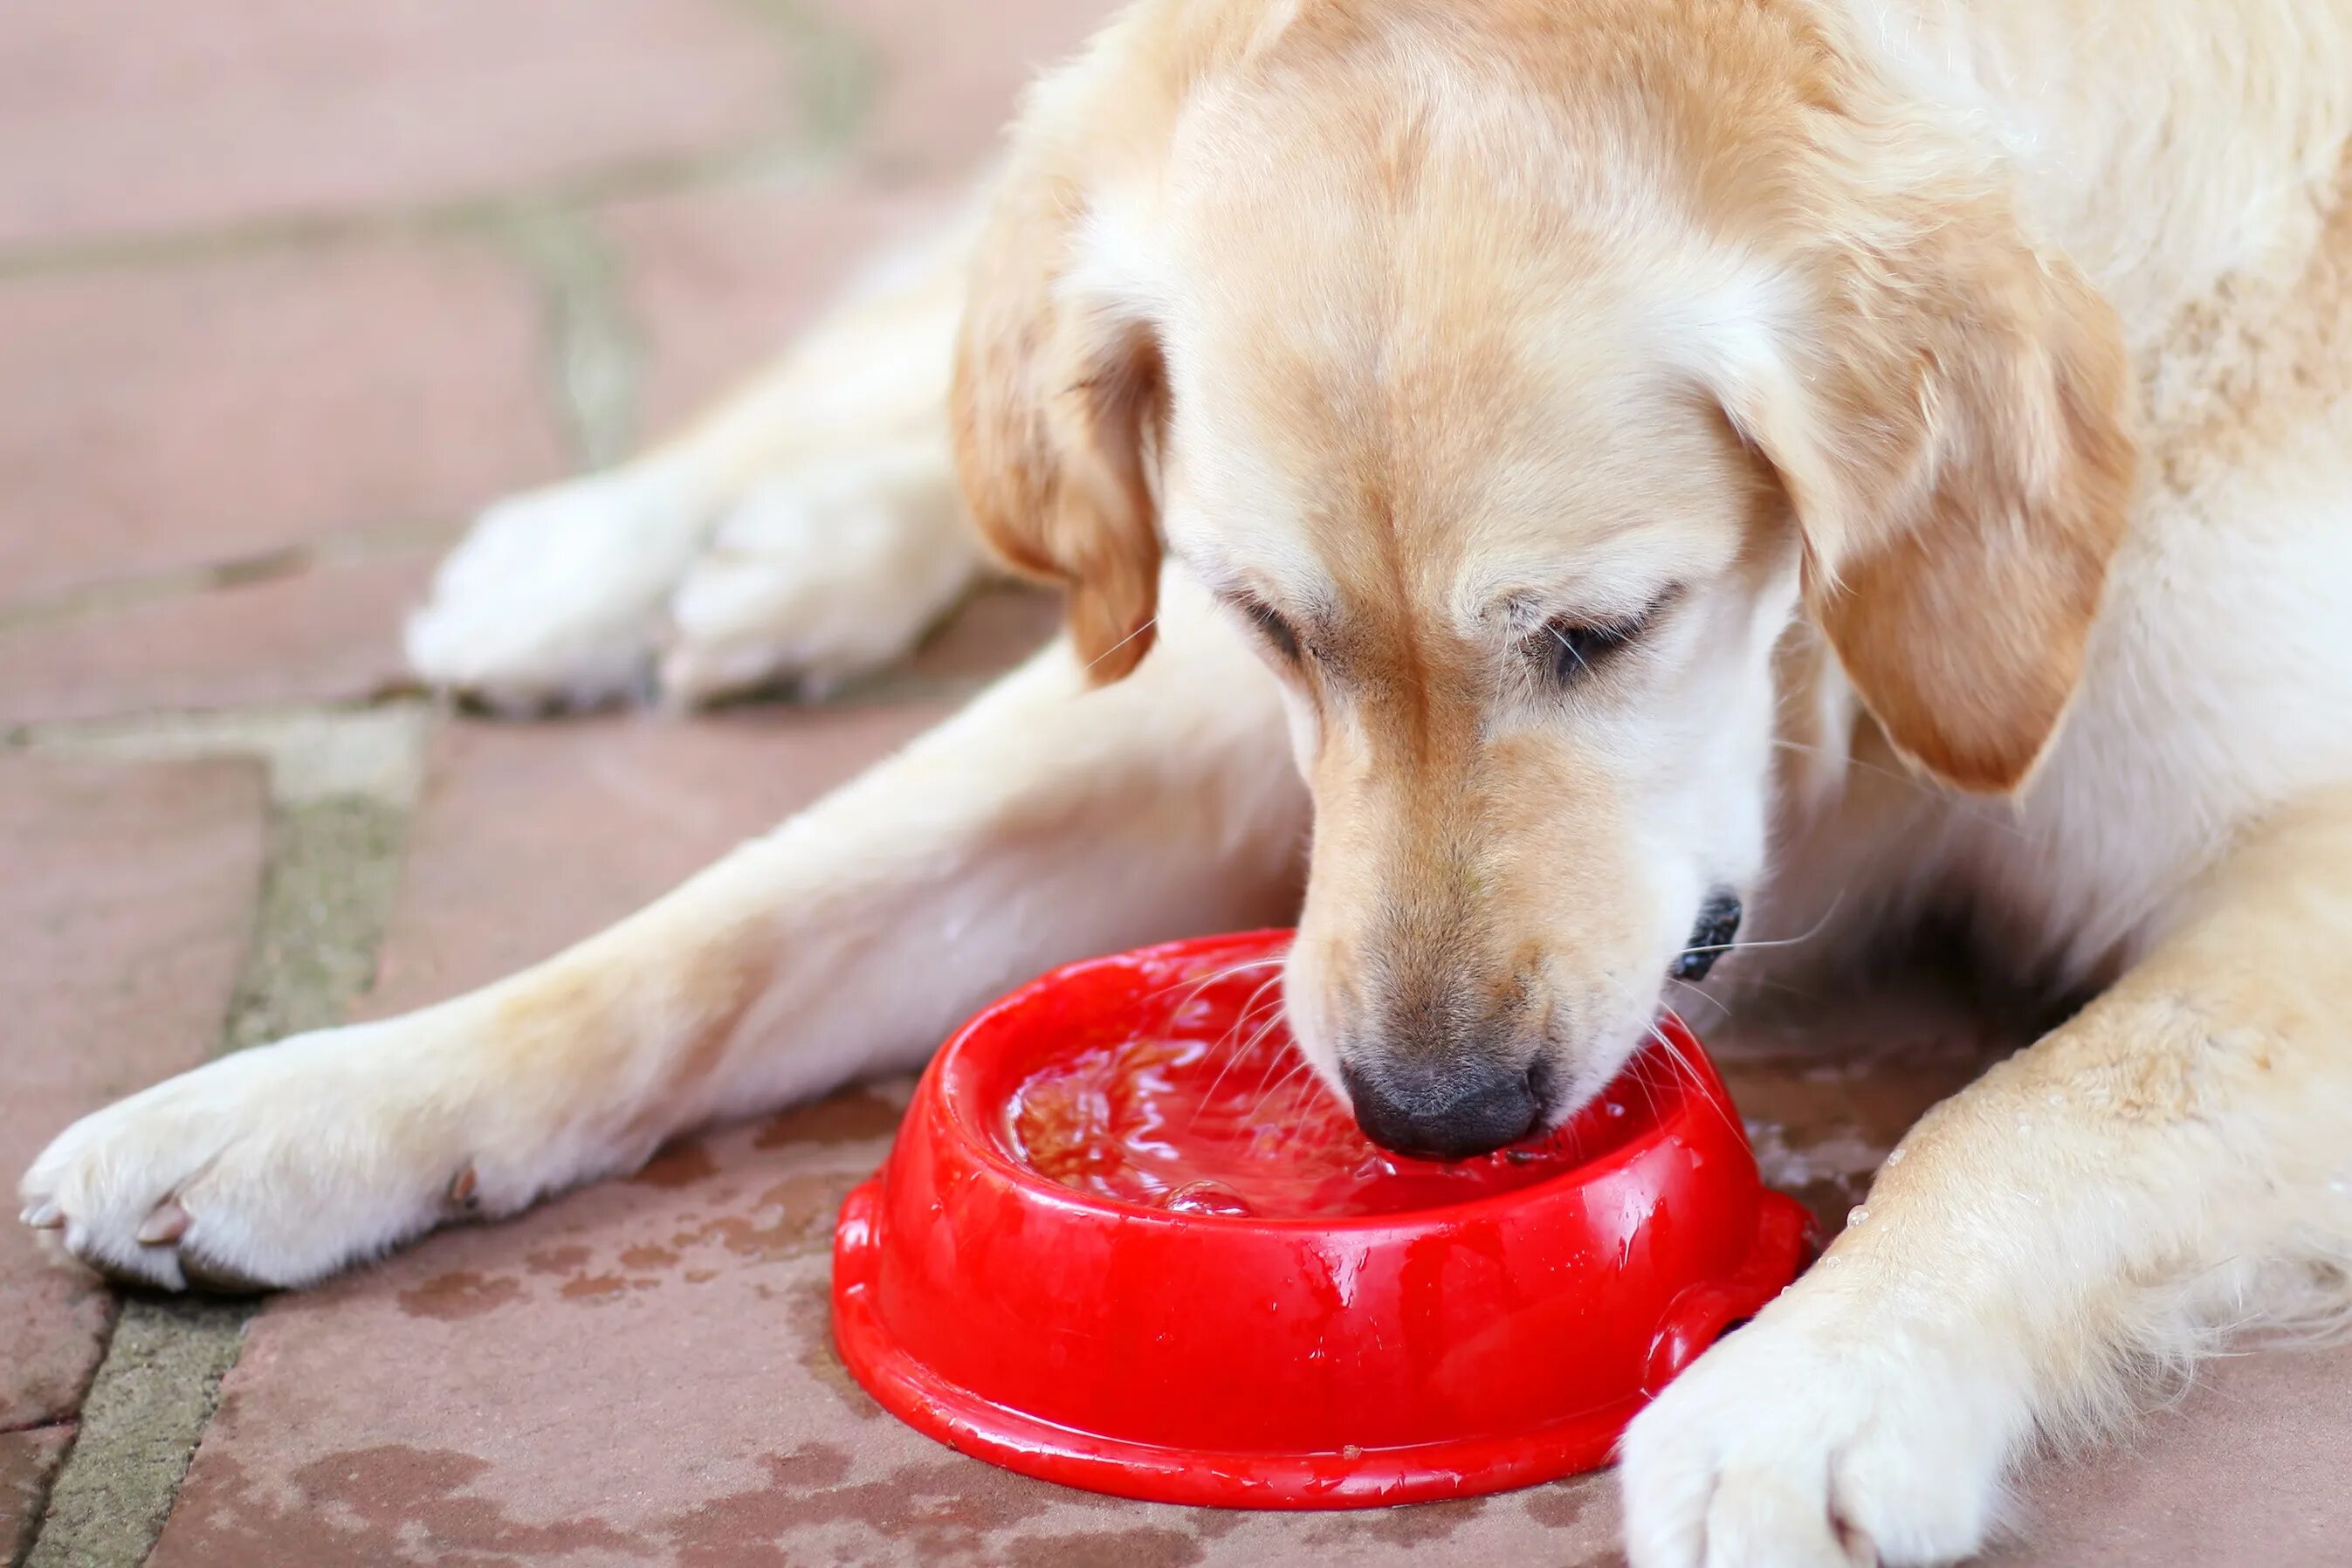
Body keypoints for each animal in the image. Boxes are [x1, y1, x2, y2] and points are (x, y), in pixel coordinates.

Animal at [18, 3, 2352, 1568]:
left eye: (1601, 630)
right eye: (1273, 623)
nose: (1432, 1115)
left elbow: (2039, 1108)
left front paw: (1816, 1386)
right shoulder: (1188, 700)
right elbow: (720, 924)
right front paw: (305, 1102)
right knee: (959, 366)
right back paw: (631, 548)